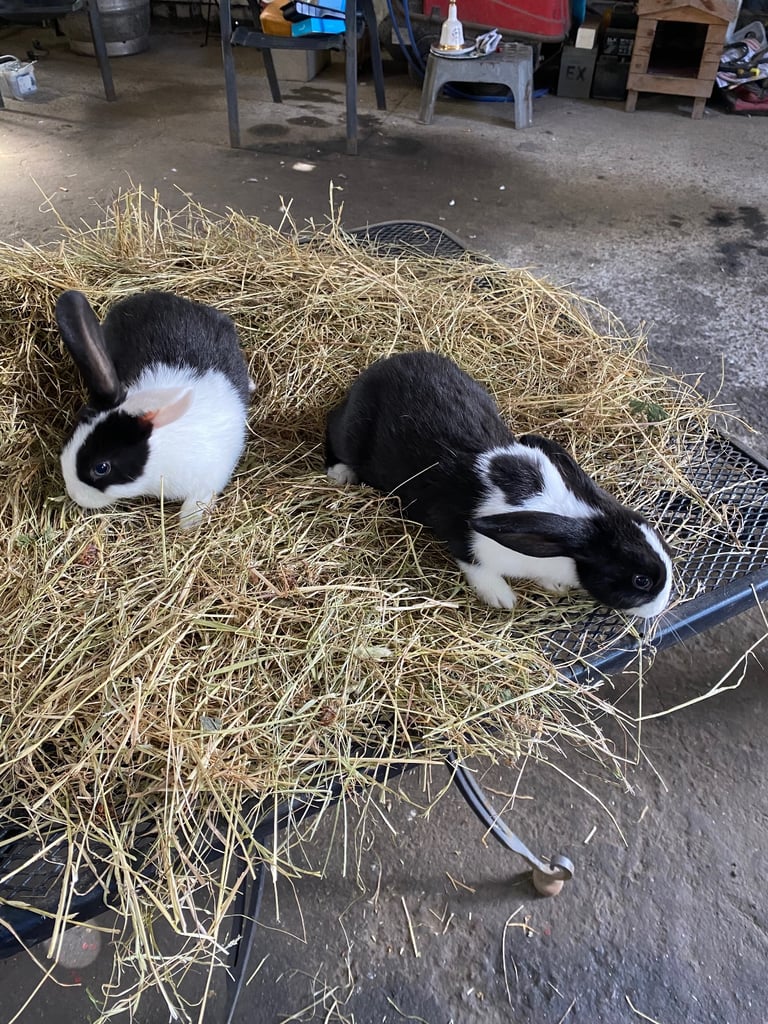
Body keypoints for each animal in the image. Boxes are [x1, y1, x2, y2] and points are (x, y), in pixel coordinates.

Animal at [55, 289, 251, 528]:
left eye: (101, 468)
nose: (74, 494)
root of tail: (149, 296)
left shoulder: (211, 476)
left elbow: (198, 500)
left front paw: (188, 524)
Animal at [325, 351, 673, 619]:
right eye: (641, 581)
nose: (660, 608)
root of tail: (380, 367)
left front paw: (554, 585)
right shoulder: (464, 537)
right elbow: (476, 566)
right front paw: (502, 597)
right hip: (351, 434)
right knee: (332, 427)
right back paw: (340, 472)